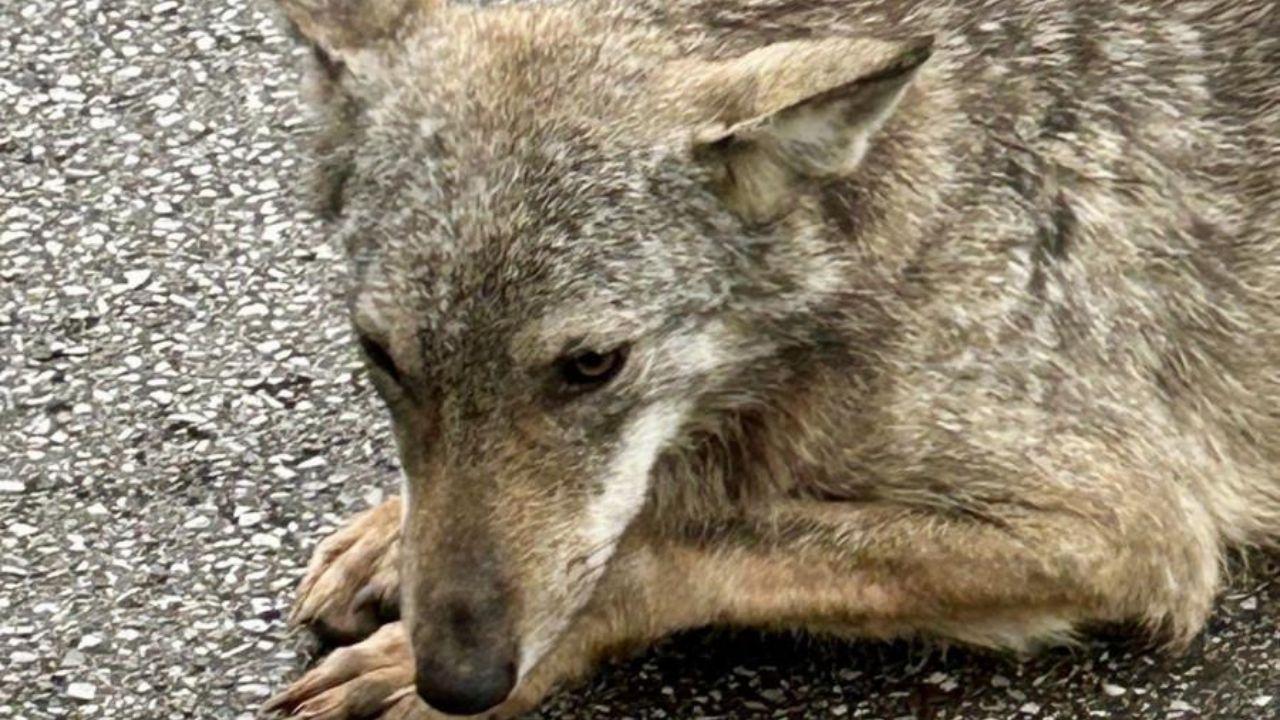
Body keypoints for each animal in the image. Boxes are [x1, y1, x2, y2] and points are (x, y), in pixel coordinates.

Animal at [262, 0, 1280, 717]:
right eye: (382, 355)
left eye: (594, 364)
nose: (457, 678)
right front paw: (390, 535)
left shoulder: (1128, 531)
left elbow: (680, 545)